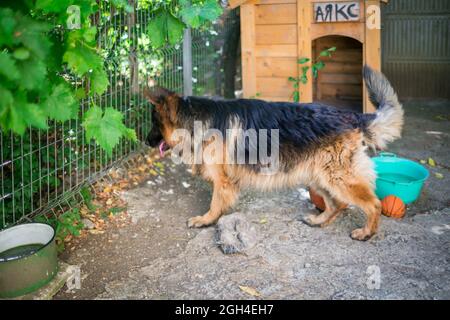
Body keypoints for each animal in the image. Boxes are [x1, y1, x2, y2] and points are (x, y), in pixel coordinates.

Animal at [145, 65, 404, 240]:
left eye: (154, 123)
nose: (146, 142)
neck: (196, 120)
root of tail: (353, 116)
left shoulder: (223, 180)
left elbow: (215, 203)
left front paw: (205, 220)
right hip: (318, 175)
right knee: (337, 204)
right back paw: (319, 220)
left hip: (337, 176)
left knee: (373, 204)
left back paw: (366, 232)